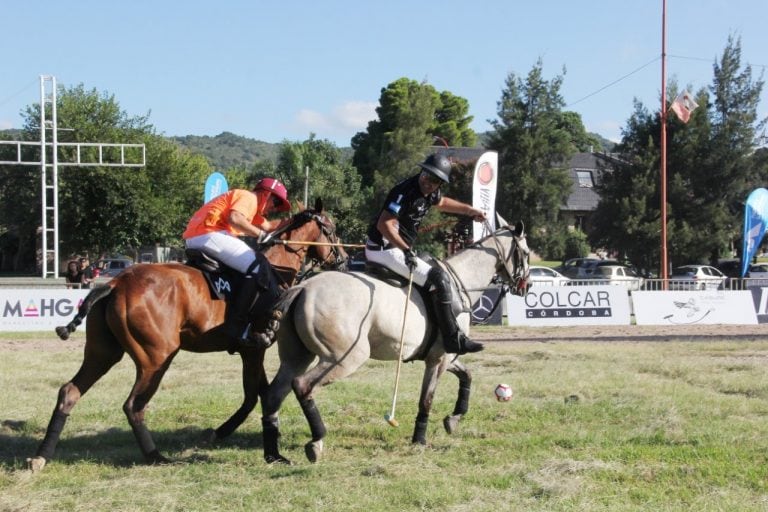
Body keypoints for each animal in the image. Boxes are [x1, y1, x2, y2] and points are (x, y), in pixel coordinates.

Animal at [27, 201, 344, 472]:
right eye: (331, 228)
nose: (343, 259)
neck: (277, 270)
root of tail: (115, 283)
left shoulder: (249, 351)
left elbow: (260, 394)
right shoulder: (255, 348)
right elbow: (256, 396)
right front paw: (230, 436)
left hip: (102, 352)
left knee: (69, 391)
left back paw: (41, 456)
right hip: (155, 358)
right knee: (134, 405)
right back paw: (155, 456)